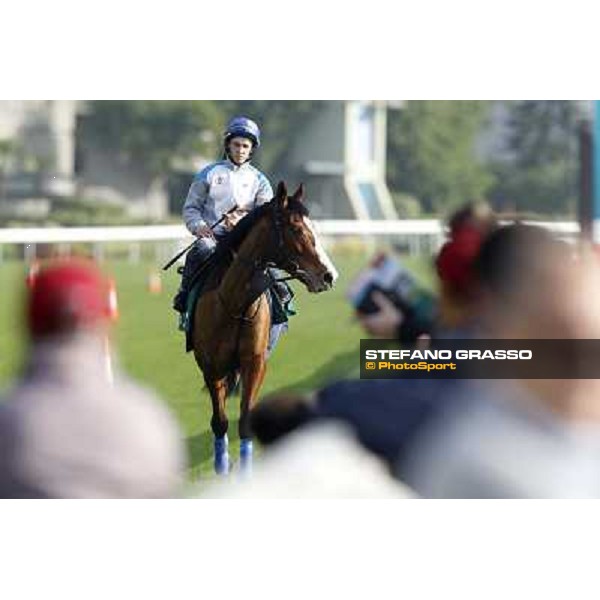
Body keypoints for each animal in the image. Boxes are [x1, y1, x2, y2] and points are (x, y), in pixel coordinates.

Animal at [191, 180, 338, 476]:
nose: (329, 276)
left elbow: (246, 420)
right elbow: (219, 421)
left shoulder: (255, 362)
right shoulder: (211, 366)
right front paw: (222, 467)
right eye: (296, 228)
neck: (235, 304)